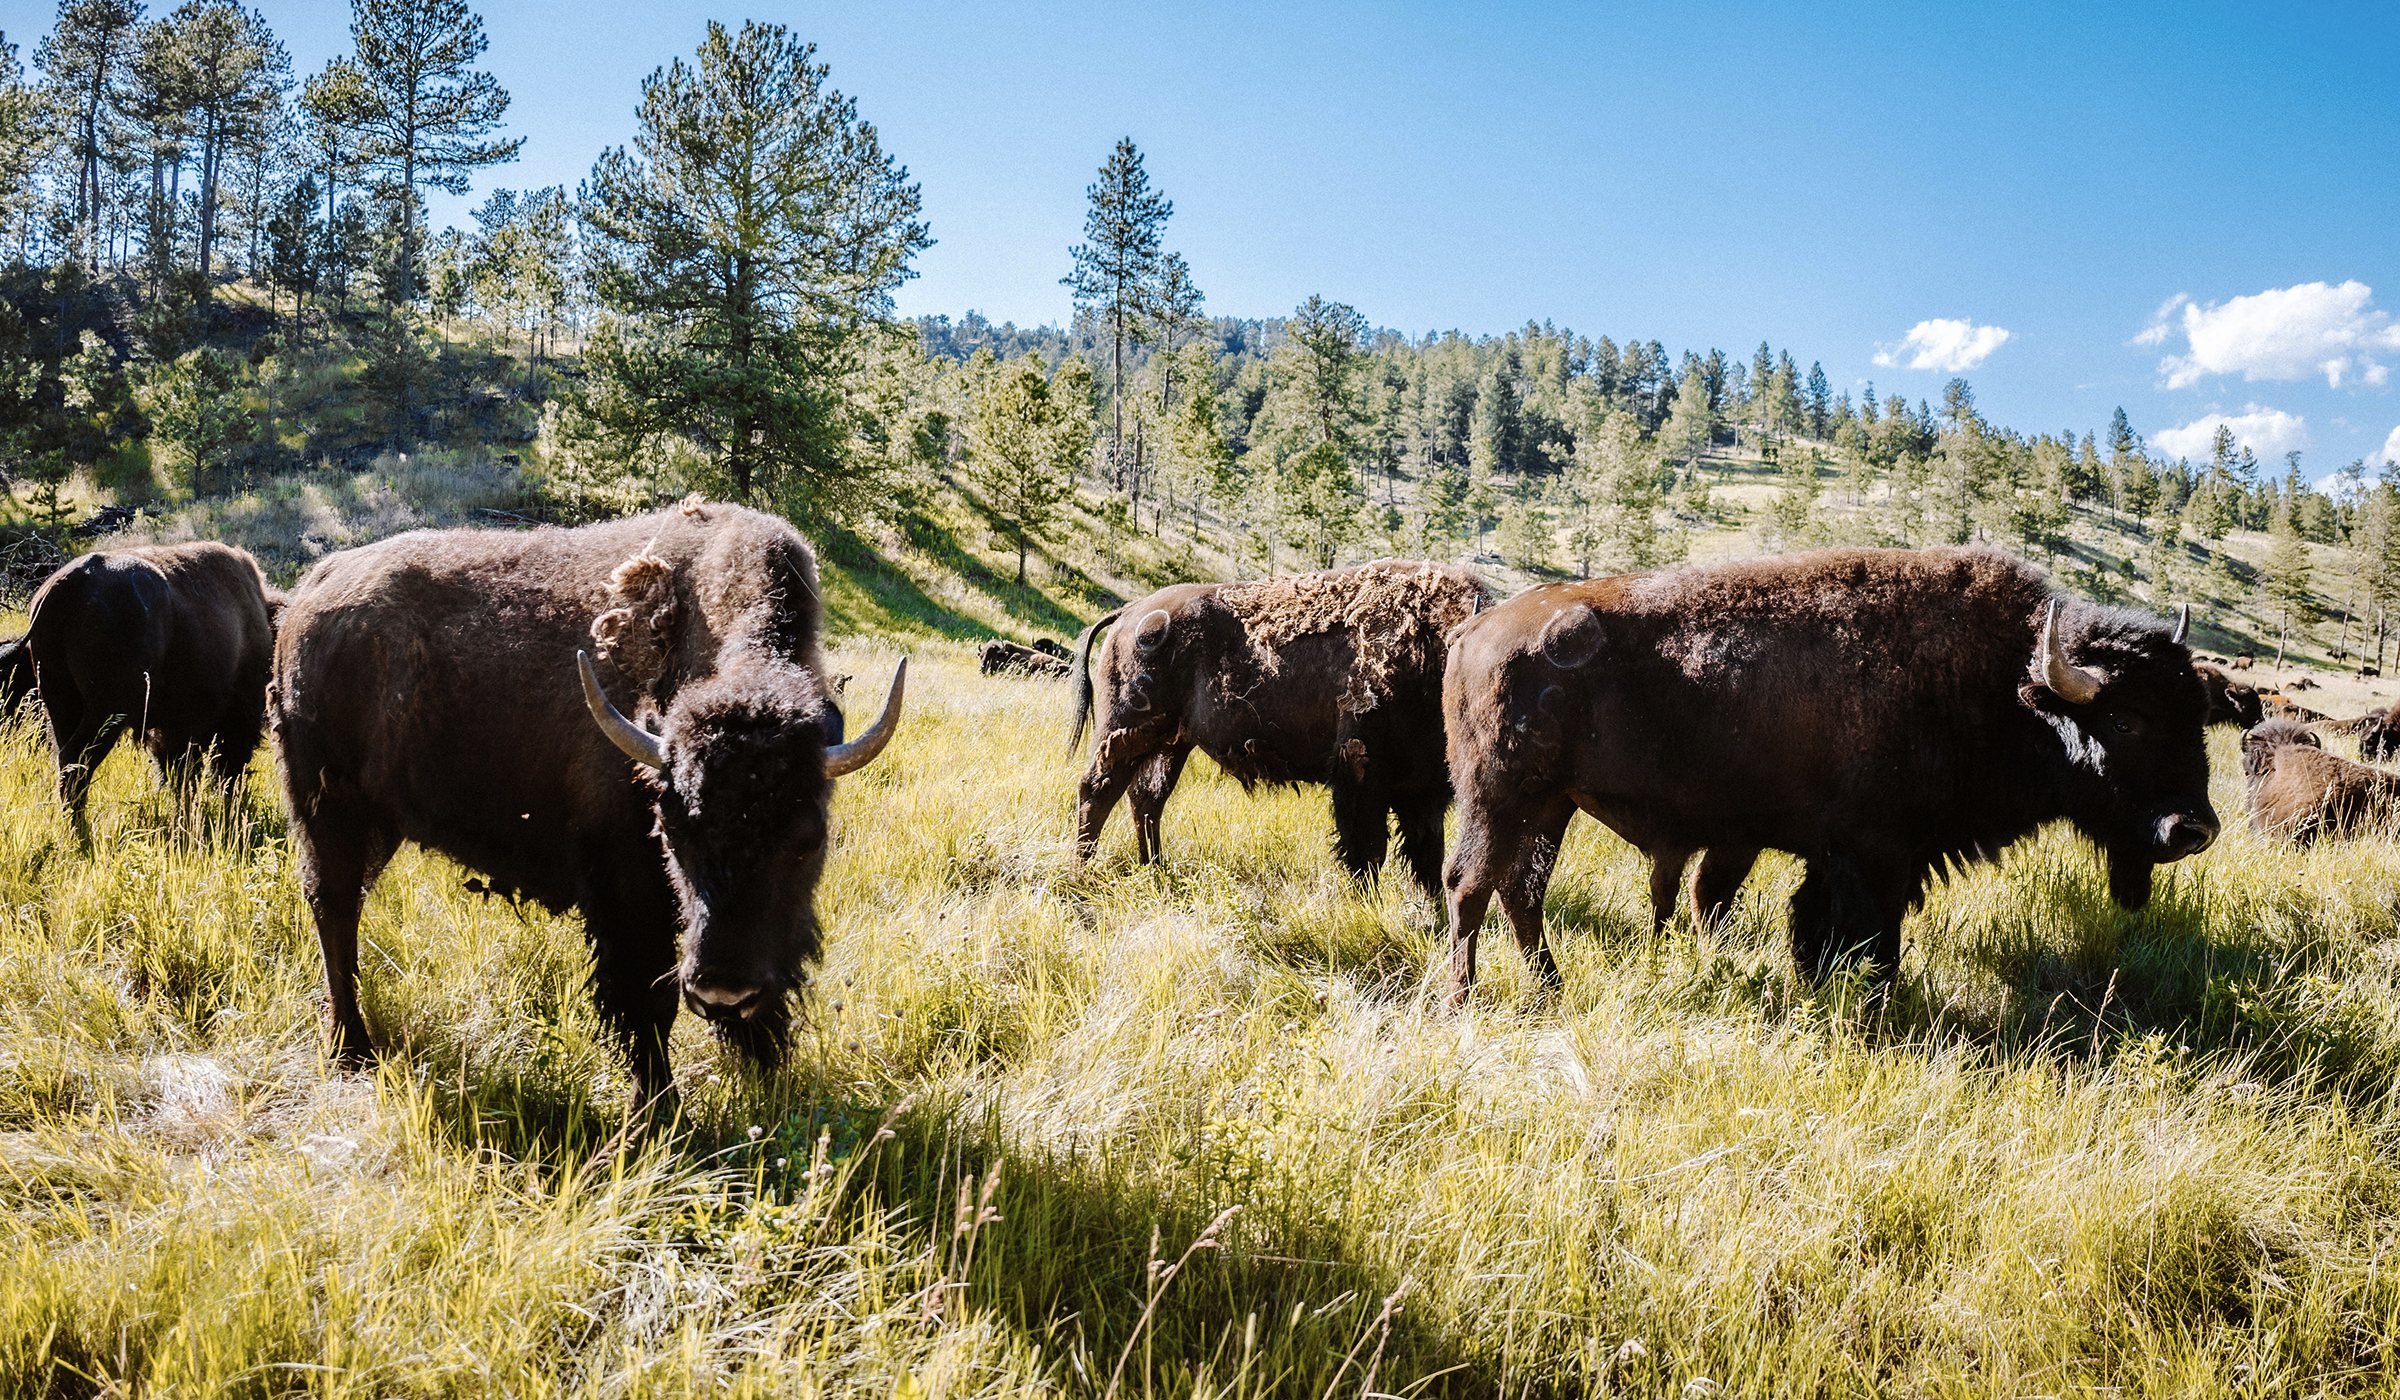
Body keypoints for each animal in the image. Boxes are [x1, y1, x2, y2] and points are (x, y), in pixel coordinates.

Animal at [22, 541, 280, 835]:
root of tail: (68, 584)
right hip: (107, 711)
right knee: (76, 761)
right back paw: (82, 833)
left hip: (60, 702)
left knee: (65, 759)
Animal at [270, 501, 903, 1110]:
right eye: (672, 831)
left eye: (808, 839)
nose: (725, 990)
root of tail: (311, 592)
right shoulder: (626, 893)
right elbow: (647, 1002)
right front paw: (658, 1112)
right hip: (328, 808)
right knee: (333, 909)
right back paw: (350, 1048)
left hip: (372, 822)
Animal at [1068, 559, 1491, 900]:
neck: (1433, 649)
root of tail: (1130, 613)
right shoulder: (1361, 774)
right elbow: (1368, 850)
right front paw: (1365, 905)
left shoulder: (1423, 793)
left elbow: (1428, 859)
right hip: (1125, 731)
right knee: (1098, 790)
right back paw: (1082, 870)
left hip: (1171, 742)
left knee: (1146, 798)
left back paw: (1154, 869)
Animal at [1440, 546, 2218, 1002]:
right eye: (2126, 721)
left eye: (2198, 716)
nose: (2194, 829)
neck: (2003, 683)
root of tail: (1475, 630)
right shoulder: (1877, 855)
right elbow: (1874, 942)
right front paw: (1874, 1009)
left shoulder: (1832, 856)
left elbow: (1810, 928)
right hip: (1498, 796)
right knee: (1470, 885)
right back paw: (1463, 1001)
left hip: (1551, 806)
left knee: (1521, 891)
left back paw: (1549, 990)